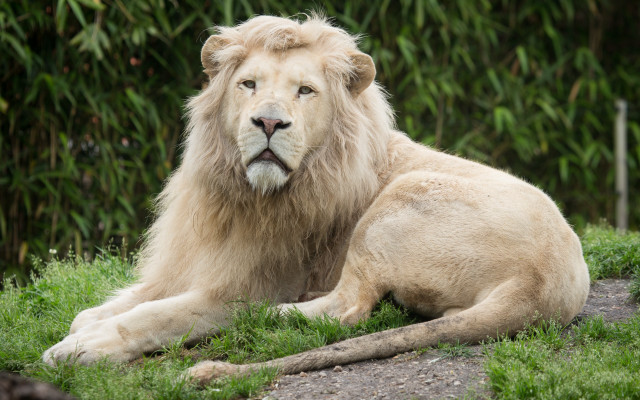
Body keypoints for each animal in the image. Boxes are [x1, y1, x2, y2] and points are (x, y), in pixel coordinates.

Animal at [43, 15, 590, 385]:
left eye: (305, 91)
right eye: (248, 85)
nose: (269, 122)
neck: (241, 195)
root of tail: (541, 286)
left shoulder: (243, 286)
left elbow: (156, 315)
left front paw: (82, 347)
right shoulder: (188, 262)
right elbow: (117, 303)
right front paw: (85, 324)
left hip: (399, 200)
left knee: (348, 308)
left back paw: (275, 315)